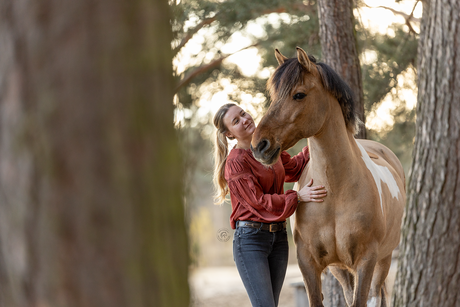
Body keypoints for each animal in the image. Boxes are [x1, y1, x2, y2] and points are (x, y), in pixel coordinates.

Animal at [252, 47, 406, 306]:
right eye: (273, 95)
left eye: (299, 95)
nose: (259, 145)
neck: (334, 190)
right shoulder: (308, 262)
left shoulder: (366, 260)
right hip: (340, 269)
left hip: (382, 261)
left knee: (376, 295)